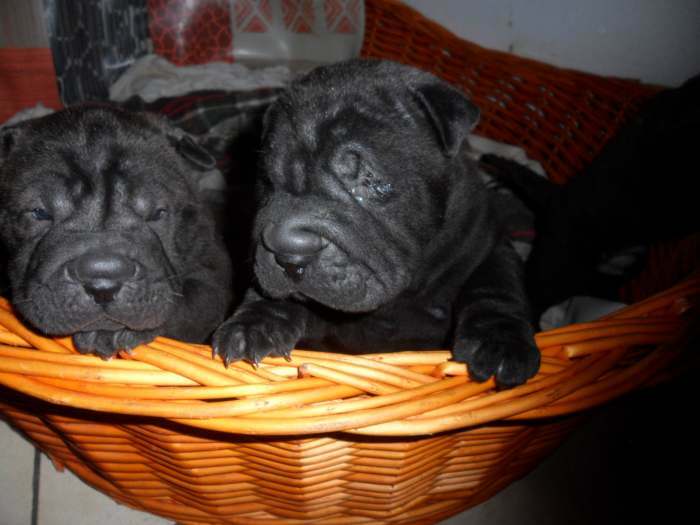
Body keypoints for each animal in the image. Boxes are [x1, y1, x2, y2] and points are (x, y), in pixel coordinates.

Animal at [0, 103, 235, 356]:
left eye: (157, 213)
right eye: (39, 213)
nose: (103, 282)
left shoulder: (210, 272)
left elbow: (187, 303)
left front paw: (111, 333)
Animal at [213, 59, 540, 386]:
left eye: (371, 181)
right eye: (267, 181)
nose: (289, 253)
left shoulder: (487, 241)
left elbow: (495, 286)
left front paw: (500, 344)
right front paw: (253, 325)